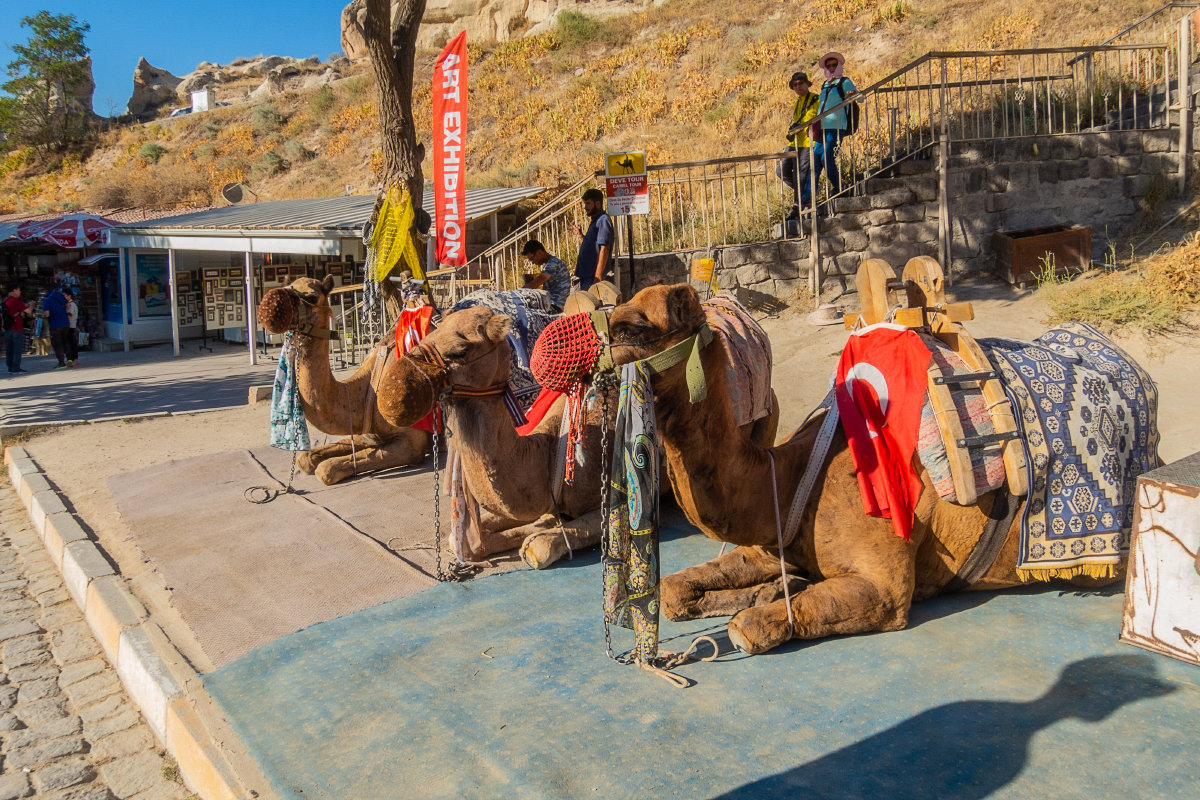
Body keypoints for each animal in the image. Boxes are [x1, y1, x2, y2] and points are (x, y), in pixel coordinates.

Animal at [255, 278, 429, 484]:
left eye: (312, 296)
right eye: (288, 287)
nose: (271, 303)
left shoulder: (412, 442)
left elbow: (326, 469)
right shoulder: (366, 434)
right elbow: (305, 458)